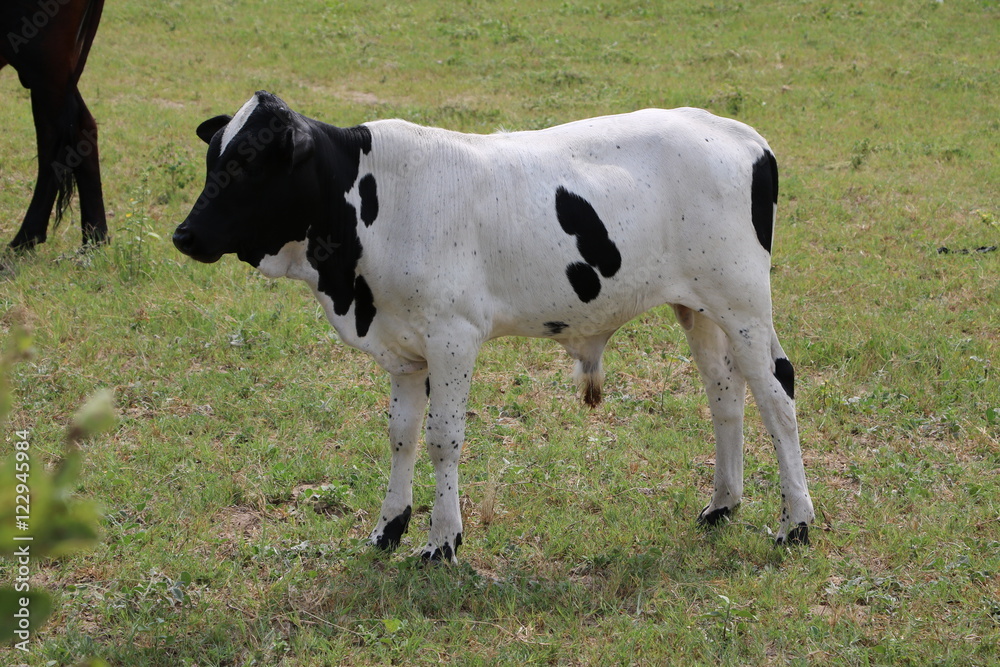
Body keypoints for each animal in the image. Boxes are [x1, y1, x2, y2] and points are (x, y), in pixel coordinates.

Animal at [172, 91, 812, 560]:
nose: (184, 234)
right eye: (213, 158)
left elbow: (442, 438)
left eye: (248, 162)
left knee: (777, 394)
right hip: (699, 308)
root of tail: (739, 134)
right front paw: (389, 529)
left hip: (743, 304)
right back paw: (722, 505)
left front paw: (442, 541)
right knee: (726, 395)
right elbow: (401, 434)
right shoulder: (403, 349)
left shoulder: (453, 338)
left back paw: (796, 523)